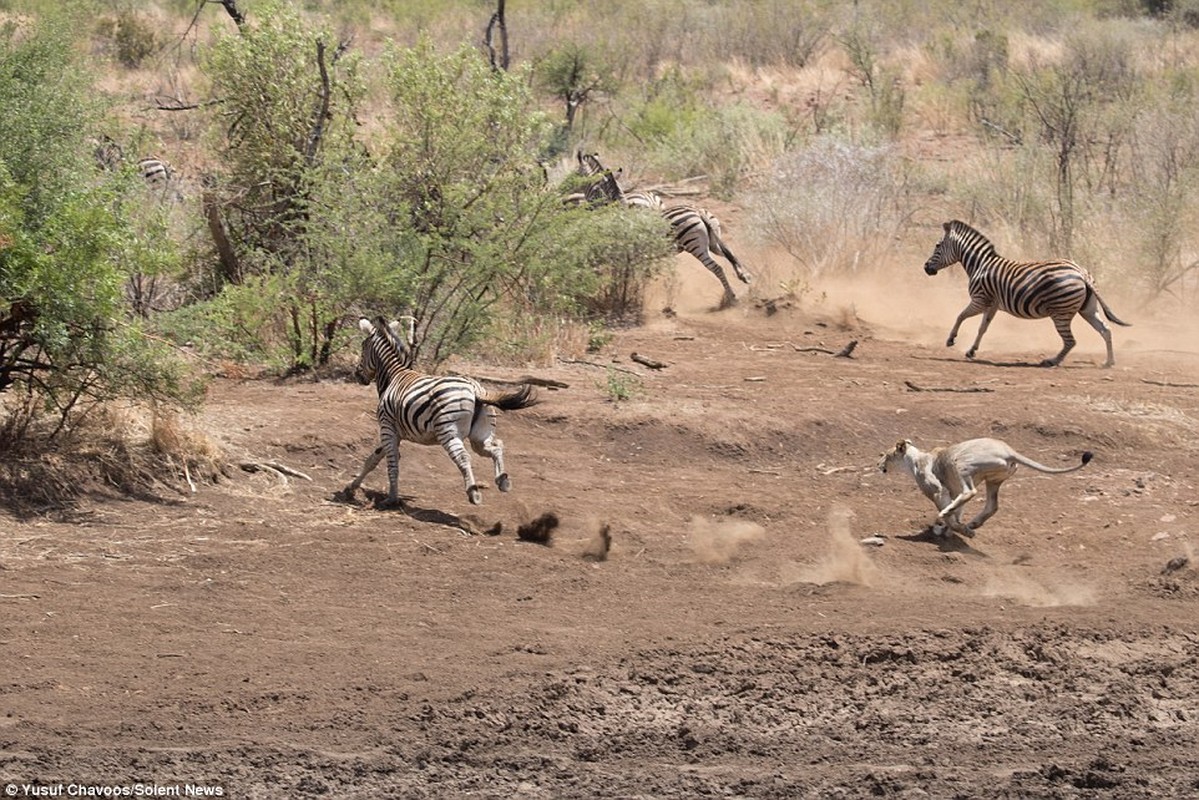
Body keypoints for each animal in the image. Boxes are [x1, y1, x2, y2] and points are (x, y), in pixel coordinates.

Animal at [342, 314, 539, 506]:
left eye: (363, 347)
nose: (357, 375)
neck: (393, 376)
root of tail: (474, 388)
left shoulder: (387, 427)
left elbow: (391, 464)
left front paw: (391, 498)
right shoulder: (395, 432)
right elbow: (373, 459)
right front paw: (351, 488)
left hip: (448, 431)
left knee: (464, 457)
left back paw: (473, 492)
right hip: (480, 434)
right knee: (496, 447)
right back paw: (503, 481)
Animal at [570, 149, 748, 309]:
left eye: (576, 175)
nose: (585, 207)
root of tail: (698, 212)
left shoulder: (617, 249)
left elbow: (617, 275)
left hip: (696, 247)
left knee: (717, 268)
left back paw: (731, 297)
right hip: (713, 242)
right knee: (730, 254)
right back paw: (744, 276)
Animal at [920, 219, 1127, 369]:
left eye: (937, 245)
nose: (926, 268)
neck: (980, 265)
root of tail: (1080, 272)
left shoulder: (980, 300)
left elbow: (960, 316)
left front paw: (951, 339)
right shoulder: (992, 304)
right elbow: (982, 328)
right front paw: (972, 351)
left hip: (1060, 312)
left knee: (1071, 341)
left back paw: (1051, 361)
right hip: (1087, 309)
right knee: (1105, 330)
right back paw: (1109, 362)